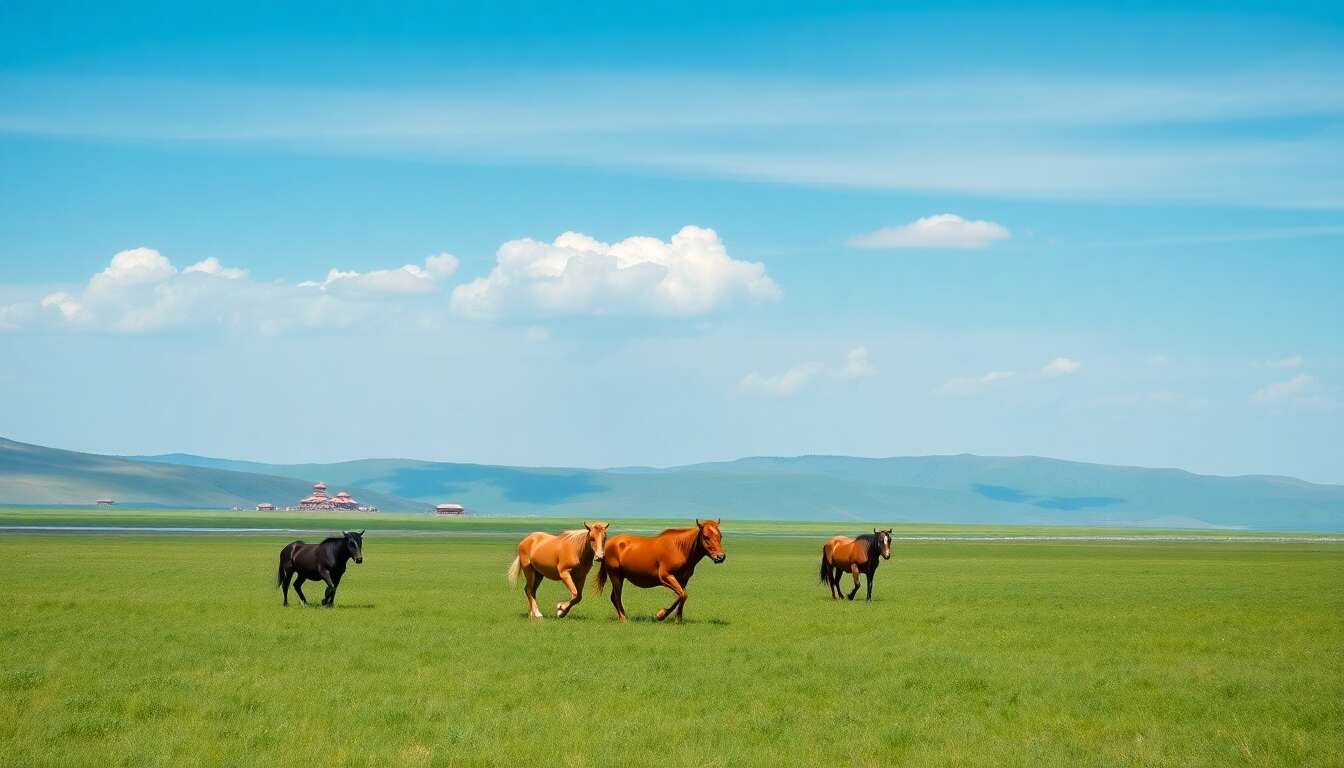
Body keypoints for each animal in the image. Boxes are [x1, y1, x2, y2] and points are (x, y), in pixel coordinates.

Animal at [594, 519, 726, 623]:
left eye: (720, 536)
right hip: (615, 576)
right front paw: (661, 614)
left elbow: (682, 595)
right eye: (706, 536)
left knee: (613, 597)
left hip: (620, 577)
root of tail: (608, 544)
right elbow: (683, 595)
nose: (720, 557)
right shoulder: (666, 577)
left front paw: (677, 620)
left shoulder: (683, 579)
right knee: (616, 596)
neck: (679, 548)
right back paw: (623, 619)